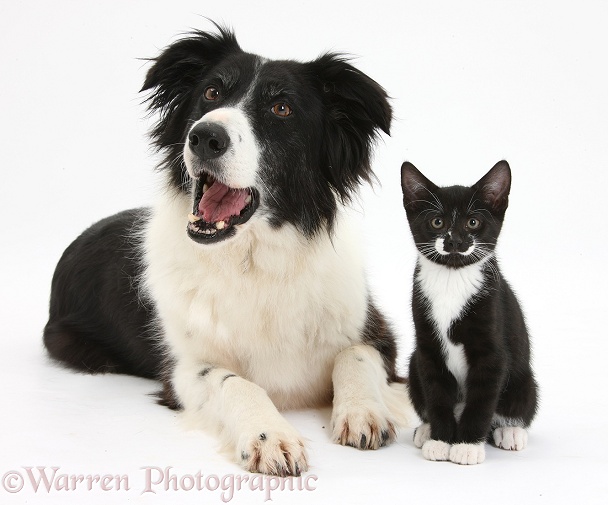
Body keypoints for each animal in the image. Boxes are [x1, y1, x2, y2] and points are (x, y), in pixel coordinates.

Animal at [45, 26, 410, 476]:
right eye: (212, 92)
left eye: (282, 108)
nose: (205, 136)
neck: (252, 260)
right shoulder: (181, 370)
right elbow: (234, 382)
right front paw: (270, 436)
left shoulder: (378, 333)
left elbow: (354, 356)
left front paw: (363, 411)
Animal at [404, 161, 536, 464]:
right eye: (437, 222)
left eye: (472, 222)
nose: (454, 241)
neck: (452, 278)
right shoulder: (427, 348)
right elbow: (437, 394)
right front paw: (441, 440)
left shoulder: (492, 352)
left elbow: (481, 400)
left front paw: (466, 446)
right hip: (413, 363)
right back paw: (426, 430)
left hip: (524, 380)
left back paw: (510, 432)